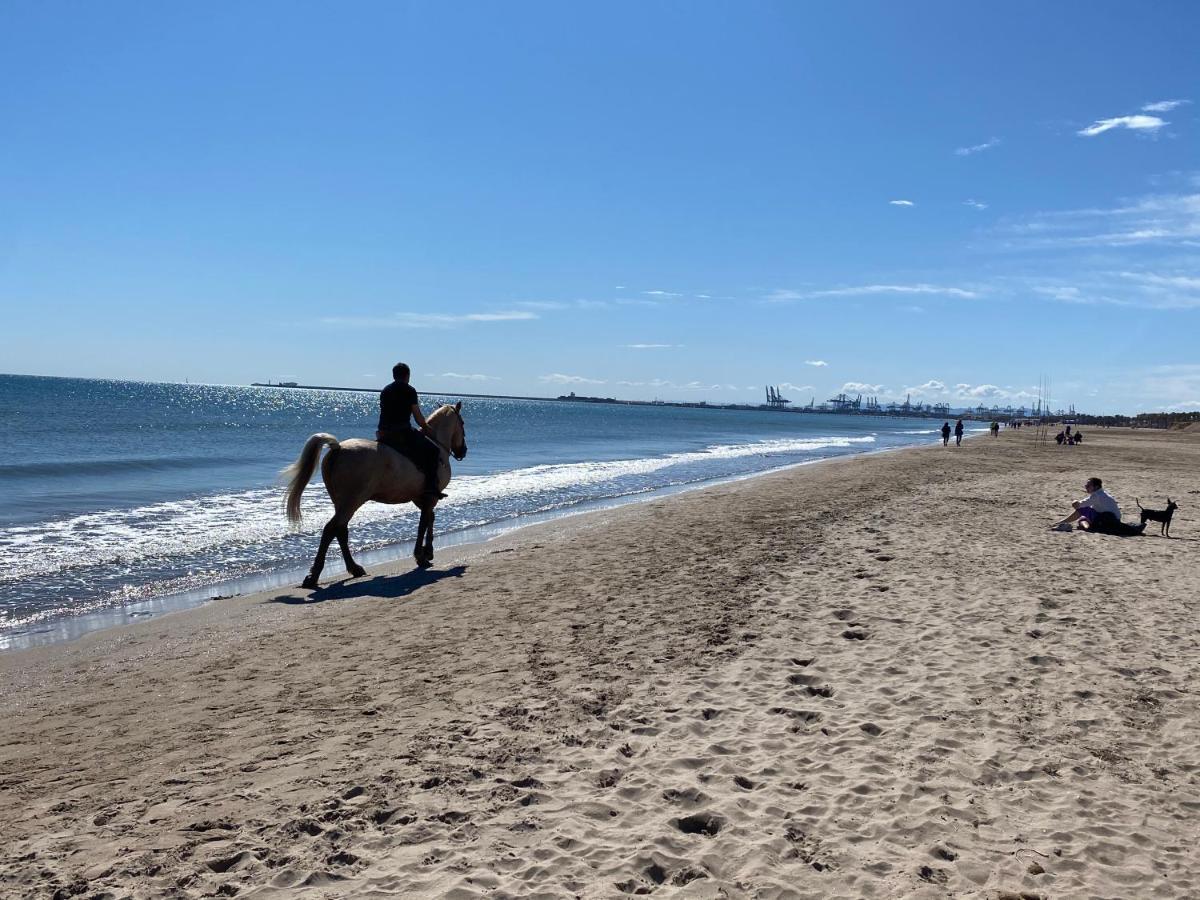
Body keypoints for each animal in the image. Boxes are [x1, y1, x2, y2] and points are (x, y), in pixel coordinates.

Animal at [282, 403, 468, 588]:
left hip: (341, 503)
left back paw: (354, 568)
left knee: (340, 530)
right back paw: (314, 575)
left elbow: (430, 518)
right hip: (351, 502)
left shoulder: (420, 498)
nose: (463, 451)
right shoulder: (430, 497)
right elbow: (424, 523)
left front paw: (427, 552)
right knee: (331, 529)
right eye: (463, 423)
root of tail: (338, 448)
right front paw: (421, 556)